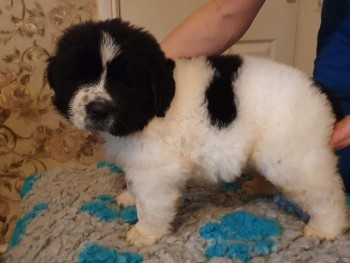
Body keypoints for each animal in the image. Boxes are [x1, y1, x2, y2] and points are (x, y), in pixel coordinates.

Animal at [46, 19, 348, 248]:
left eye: (125, 83)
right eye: (78, 78)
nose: (98, 109)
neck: (150, 110)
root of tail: (321, 91)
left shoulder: (157, 170)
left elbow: (152, 204)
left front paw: (144, 233)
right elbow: (135, 184)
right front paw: (130, 197)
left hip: (294, 157)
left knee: (325, 193)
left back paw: (328, 228)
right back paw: (260, 186)